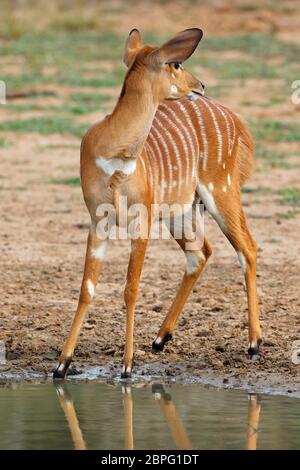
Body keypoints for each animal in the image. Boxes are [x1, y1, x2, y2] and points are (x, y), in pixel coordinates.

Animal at [54, 25, 262, 380]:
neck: (116, 152)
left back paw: (254, 344)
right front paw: (62, 364)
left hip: (221, 191)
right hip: (181, 210)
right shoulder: (99, 219)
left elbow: (131, 288)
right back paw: (160, 339)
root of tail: (234, 119)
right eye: (176, 64)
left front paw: (126, 366)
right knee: (201, 253)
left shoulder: (142, 220)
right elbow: (87, 288)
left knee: (246, 248)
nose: (200, 85)